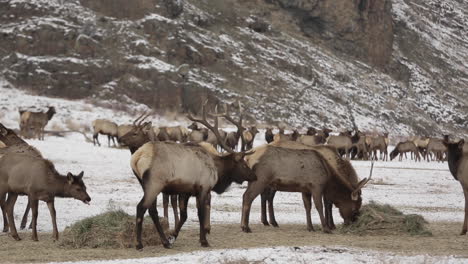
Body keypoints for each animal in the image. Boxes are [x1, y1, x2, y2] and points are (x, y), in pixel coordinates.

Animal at [129, 103, 256, 250]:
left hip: (144, 183)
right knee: (141, 207)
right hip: (154, 183)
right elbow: (200, 214)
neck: (217, 169)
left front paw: (173, 236)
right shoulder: (203, 188)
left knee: (152, 210)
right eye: (243, 164)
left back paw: (165, 242)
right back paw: (139, 243)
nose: (254, 176)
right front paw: (204, 240)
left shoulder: (186, 191)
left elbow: (184, 215)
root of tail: (137, 158)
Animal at [241, 140, 370, 233]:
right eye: (355, 208)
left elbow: (308, 207)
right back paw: (246, 227)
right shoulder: (317, 186)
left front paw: (310, 227)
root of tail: (248, 158)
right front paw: (327, 227)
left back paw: (263, 222)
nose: (352, 223)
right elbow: (321, 206)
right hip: (261, 179)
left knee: (252, 196)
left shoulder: (305, 190)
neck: (329, 172)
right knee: (250, 197)